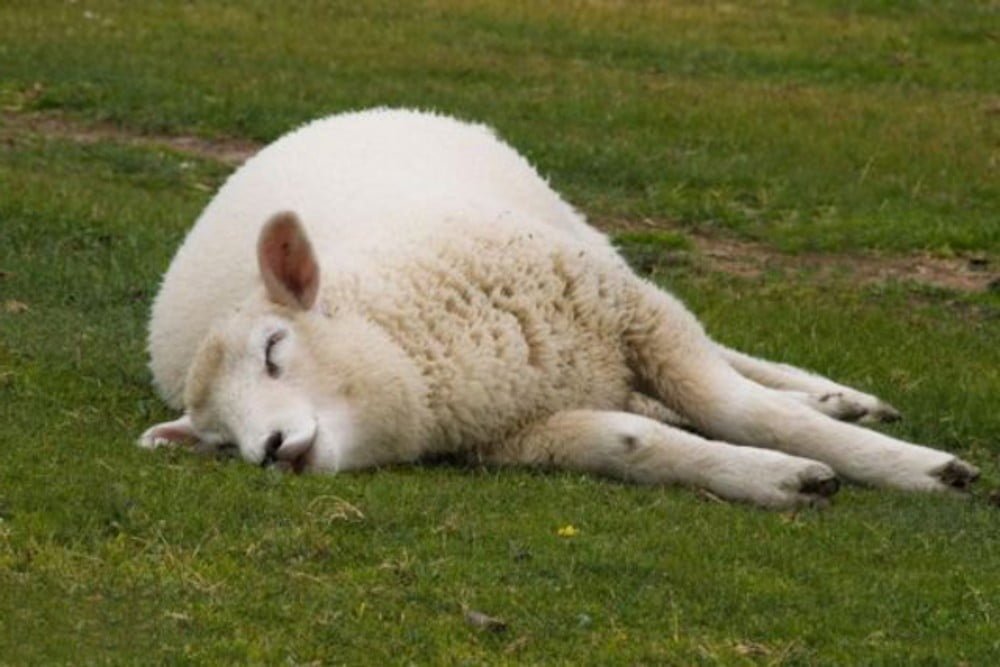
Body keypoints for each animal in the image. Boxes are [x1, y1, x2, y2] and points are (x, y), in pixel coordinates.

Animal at [139, 108, 979, 509]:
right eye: (217, 441)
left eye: (274, 348)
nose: (269, 449)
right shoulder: (521, 433)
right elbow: (634, 442)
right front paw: (775, 479)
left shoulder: (630, 315)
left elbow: (742, 407)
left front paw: (917, 468)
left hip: (593, 245)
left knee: (732, 360)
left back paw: (840, 399)